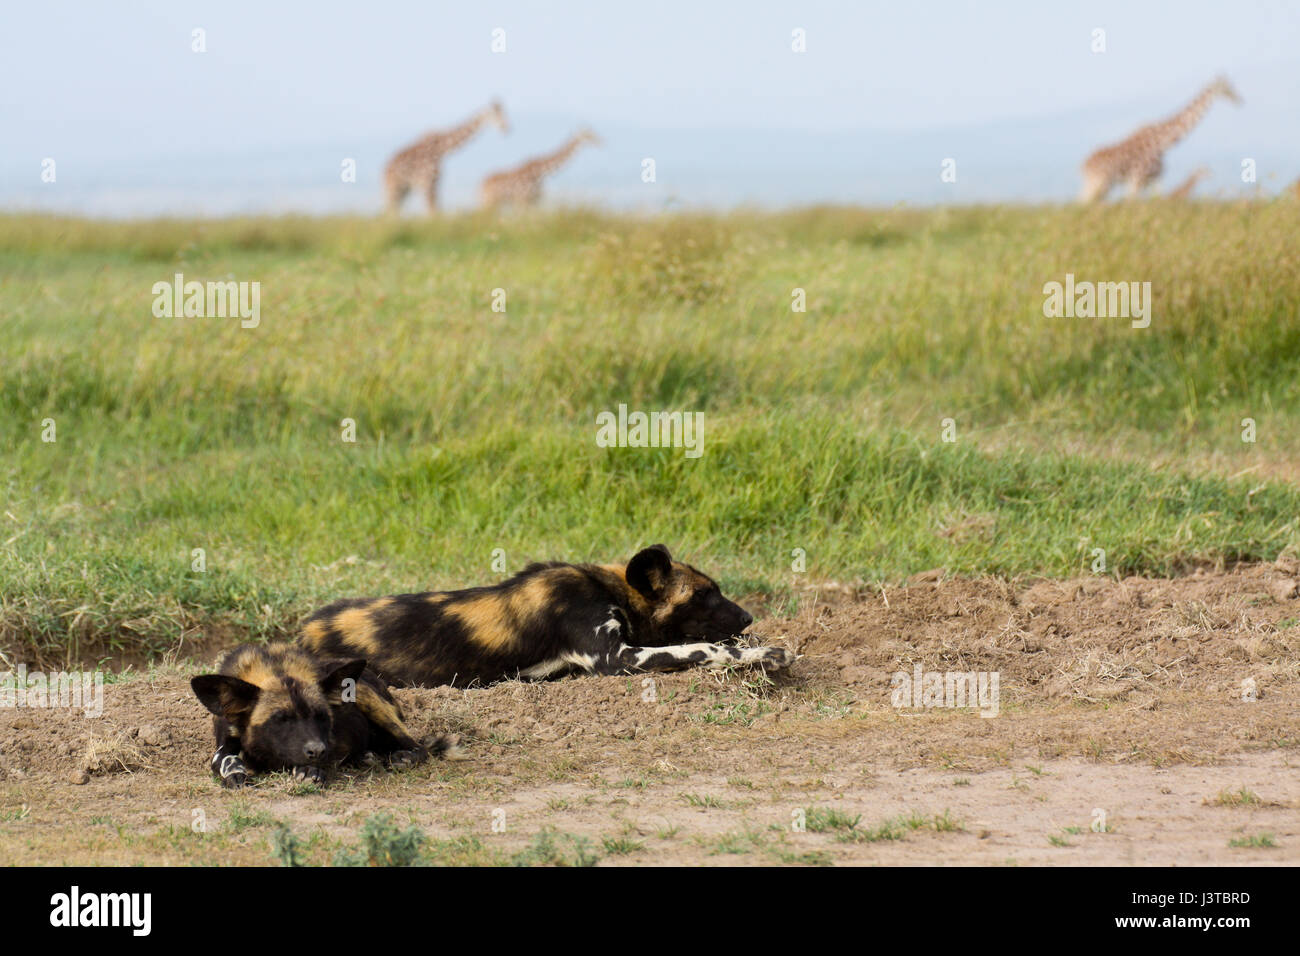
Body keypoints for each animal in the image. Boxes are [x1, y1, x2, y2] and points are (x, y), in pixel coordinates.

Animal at [188, 642, 457, 785]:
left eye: (322, 717)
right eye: (280, 720)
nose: (317, 750)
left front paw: (310, 770)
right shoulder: (226, 741)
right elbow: (224, 759)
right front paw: (235, 772)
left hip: (367, 698)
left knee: (417, 746)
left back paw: (400, 756)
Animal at [300, 546, 795, 686]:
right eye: (706, 595)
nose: (748, 617)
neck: (609, 589)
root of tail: (303, 629)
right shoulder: (617, 659)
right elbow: (701, 648)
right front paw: (767, 653)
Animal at [1076, 78, 1237, 204]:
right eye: (1228, 88)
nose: (1238, 99)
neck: (1163, 143)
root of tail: (1083, 164)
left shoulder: (1154, 179)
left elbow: (1155, 202)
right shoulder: (1137, 179)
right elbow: (1133, 204)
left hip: (1104, 185)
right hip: (1098, 181)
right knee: (1083, 202)